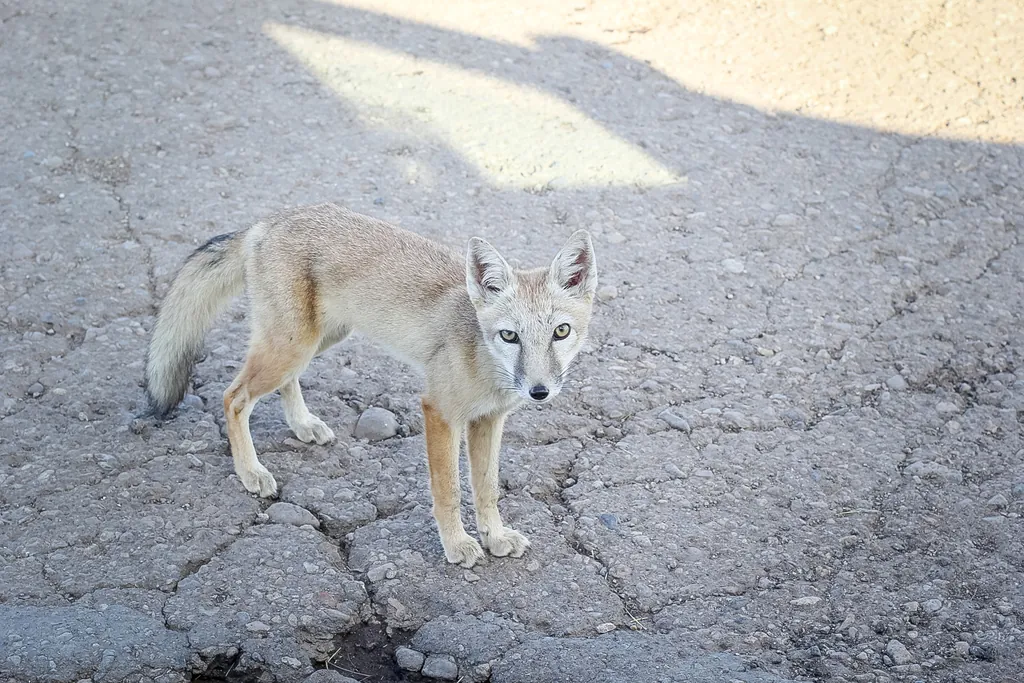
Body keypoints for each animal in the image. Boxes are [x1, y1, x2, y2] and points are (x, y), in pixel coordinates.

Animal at [145, 203, 597, 567]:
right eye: (509, 336)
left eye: (560, 332)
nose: (539, 392)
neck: (485, 364)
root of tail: (269, 220)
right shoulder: (440, 412)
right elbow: (449, 491)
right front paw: (457, 545)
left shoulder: (488, 420)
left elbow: (486, 489)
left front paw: (496, 537)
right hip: (291, 345)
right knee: (233, 396)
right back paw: (251, 471)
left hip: (316, 340)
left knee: (285, 382)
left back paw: (301, 425)